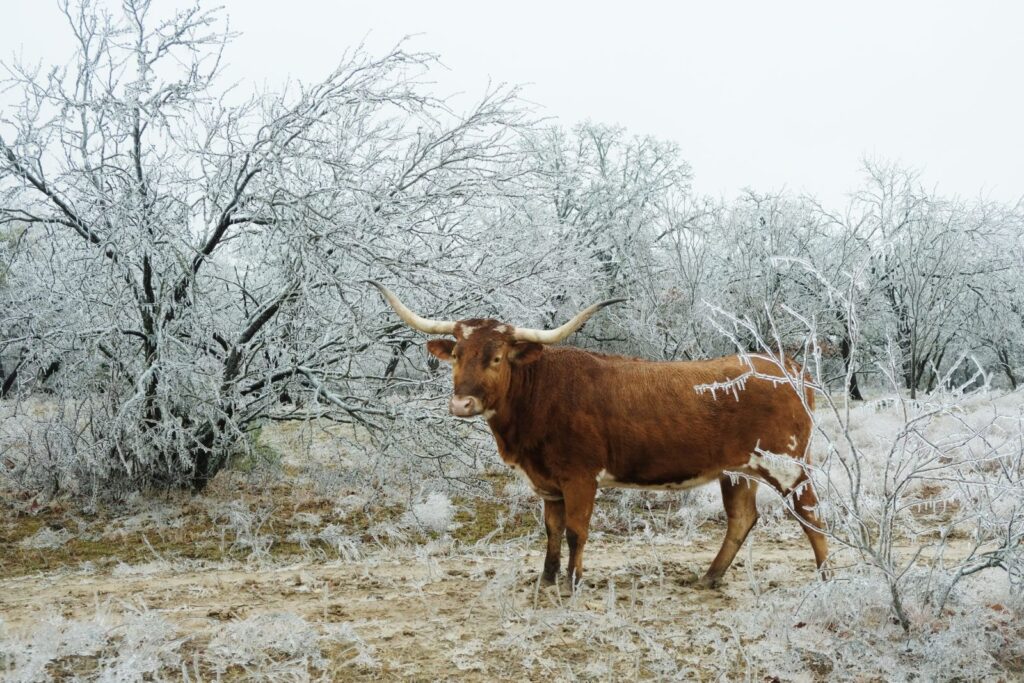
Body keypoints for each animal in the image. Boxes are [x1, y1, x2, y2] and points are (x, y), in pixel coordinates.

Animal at [372, 282, 827, 589]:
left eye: (497, 357)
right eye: (456, 356)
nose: (462, 404)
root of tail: (786, 366)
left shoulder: (580, 476)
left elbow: (576, 530)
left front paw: (573, 582)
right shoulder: (548, 483)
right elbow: (552, 530)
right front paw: (547, 579)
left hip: (788, 465)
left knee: (811, 515)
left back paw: (824, 577)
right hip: (737, 471)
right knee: (741, 519)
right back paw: (709, 578)